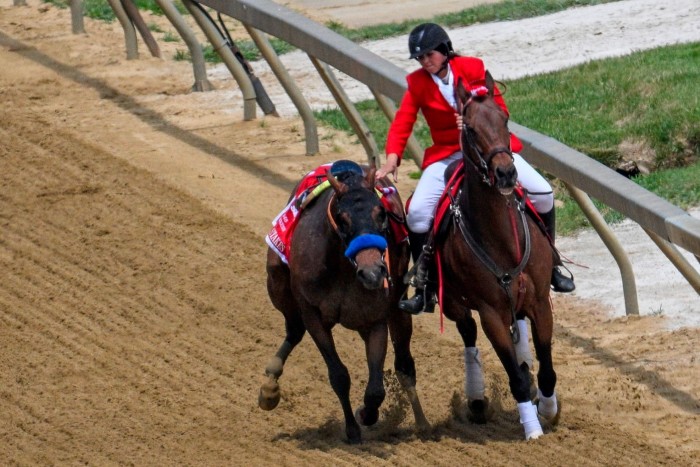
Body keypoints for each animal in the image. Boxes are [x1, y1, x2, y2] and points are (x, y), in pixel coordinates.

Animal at [260, 163, 430, 444]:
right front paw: (352, 429)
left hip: (398, 312)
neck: (342, 269)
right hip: (277, 283)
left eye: (381, 213)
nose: (372, 273)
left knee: (405, 365)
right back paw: (270, 386)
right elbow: (339, 375)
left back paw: (422, 422)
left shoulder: (375, 320)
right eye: (342, 218)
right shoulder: (313, 314)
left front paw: (366, 414)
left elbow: (376, 389)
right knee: (294, 329)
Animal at [438, 74, 564, 442]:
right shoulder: (490, 312)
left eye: (504, 120)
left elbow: (547, 369)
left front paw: (548, 409)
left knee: (518, 328)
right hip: (454, 303)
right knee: (467, 334)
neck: (502, 241)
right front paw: (533, 429)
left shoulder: (539, 301)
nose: (506, 173)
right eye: (470, 129)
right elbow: (515, 378)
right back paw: (478, 399)